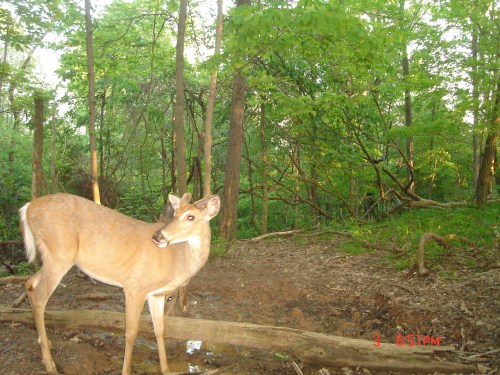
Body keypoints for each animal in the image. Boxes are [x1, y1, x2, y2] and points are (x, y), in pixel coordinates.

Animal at [20, 192, 219, 374]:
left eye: (190, 217)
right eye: (175, 214)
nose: (158, 236)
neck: (177, 259)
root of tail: (27, 207)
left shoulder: (156, 294)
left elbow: (160, 330)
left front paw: (166, 369)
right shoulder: (135, 286)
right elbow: (131, 332)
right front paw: (126, 370)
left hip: (51, 257)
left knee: (29, 283)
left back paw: (47, 344)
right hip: (59, 253)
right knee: (39, 296)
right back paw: (49, 364)